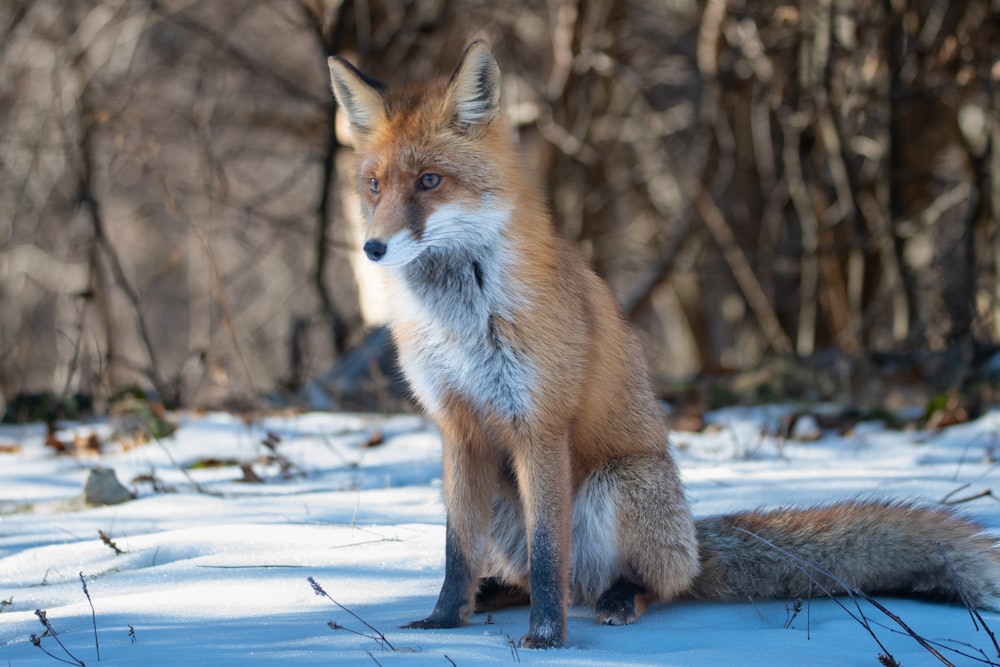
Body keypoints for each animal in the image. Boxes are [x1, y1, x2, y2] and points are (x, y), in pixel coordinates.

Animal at [326, 40, 1000, 648]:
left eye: (430, 181)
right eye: (374, 185)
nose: (372, 249)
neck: (462, 318)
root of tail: (695, 544)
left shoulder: (539, 425)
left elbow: (548, 555)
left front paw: (546, 640)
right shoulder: (459, 429)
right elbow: (456, 552)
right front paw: (444, 621)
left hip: (615, 485)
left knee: (635, 582)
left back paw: (619, 599)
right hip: (500, 492)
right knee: (546, 576)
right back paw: (493, 596)